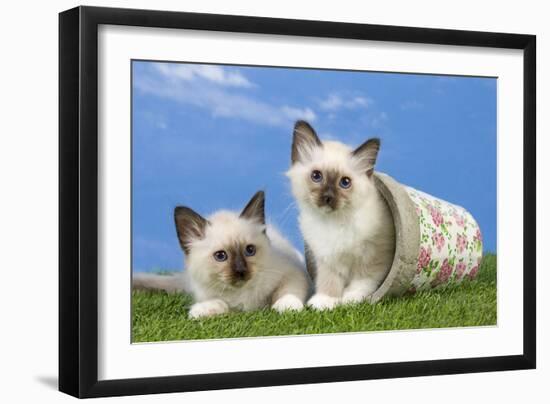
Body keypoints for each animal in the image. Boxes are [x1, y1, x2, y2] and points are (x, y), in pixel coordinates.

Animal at [133, 191, 310, 318]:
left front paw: (287, 307)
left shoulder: (292, 272)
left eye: (250, 250)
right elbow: (221, 304)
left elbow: (287, 292)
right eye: (220, 256)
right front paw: (198, 312)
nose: (241, 271)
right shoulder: (210, 295)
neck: (241, 294)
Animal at [284, 120, 396, 310]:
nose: (328, 197)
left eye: (345, 182)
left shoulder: (374, 256)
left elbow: (362, 281)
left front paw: (350, 300)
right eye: (316, 176)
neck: (333, 223)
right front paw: (325, 302)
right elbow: (329, 281)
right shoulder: (326, 258)